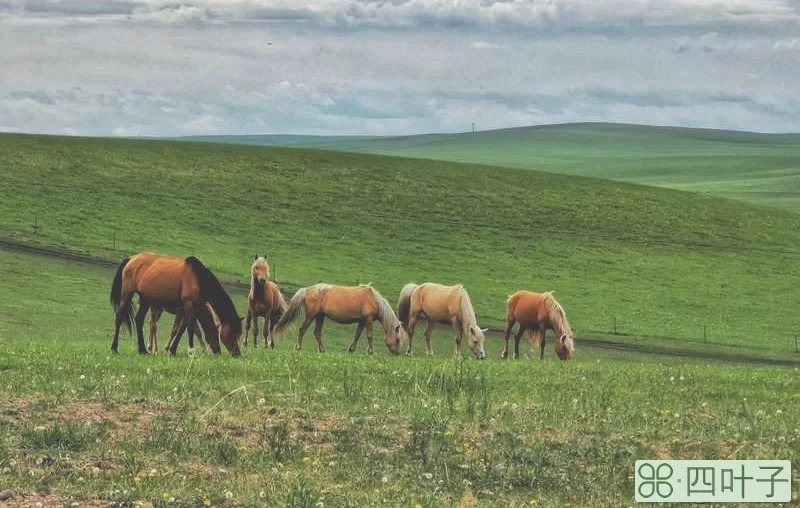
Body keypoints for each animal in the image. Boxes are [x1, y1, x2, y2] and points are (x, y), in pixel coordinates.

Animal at [108, 254, 244, 358]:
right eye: (230, 333)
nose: (237, 353)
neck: (197, 278)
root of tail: (131, 259)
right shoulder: (188, 304)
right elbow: (189, 328)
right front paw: (191, 352)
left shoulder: (186, 308)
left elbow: (181, 328)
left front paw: (172, 350)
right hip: (127, 293)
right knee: (120, 317)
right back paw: (115, 348)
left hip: (145, 299)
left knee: (140, 320)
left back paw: (143, 350)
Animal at [274, 284, 406, 356]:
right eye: (397, 339)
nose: (397, 353)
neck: (373, 299)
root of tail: (307, 289)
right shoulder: (368, 319)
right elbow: (369, 336)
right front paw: (371, 351)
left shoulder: (362, 321)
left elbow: (357, 335)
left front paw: (351, 349)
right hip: (311, 315)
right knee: (302, 329)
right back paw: (298, 347)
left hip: (320, 316)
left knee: (317, 332)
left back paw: (322, 350)